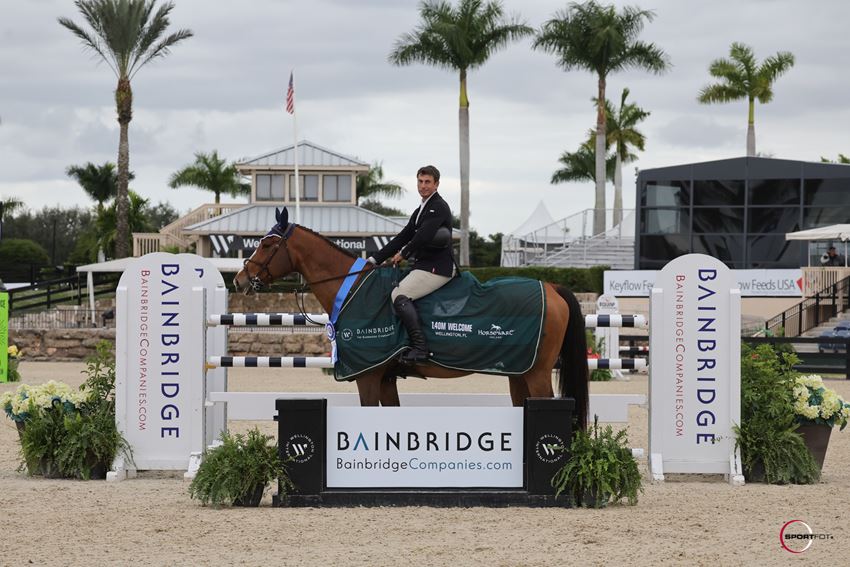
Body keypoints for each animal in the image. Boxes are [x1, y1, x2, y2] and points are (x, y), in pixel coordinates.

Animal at [234, 206, 588, 428]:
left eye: (267, 245)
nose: (239, 280)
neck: (352, 288)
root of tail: (551, 287)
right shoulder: (386, 378)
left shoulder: (368, 375)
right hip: (519, 372)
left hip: (538, 373)